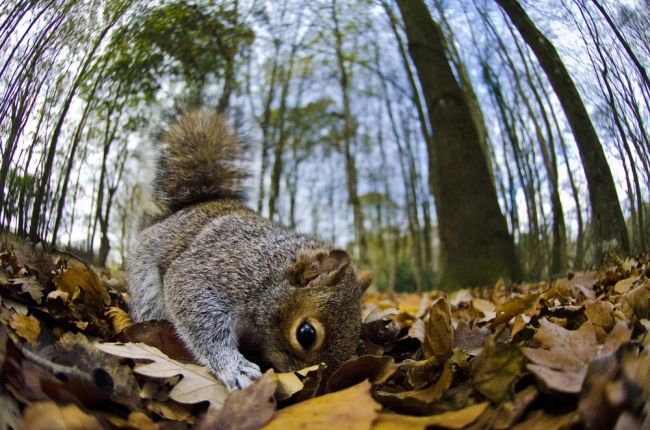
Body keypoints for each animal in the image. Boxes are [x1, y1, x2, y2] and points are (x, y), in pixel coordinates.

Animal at [126, 106, 370, 390]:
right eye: (306, 334)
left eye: (354, 344)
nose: (311, 385)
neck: (273, 270)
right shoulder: (227, 268)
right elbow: (194, 305)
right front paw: (234, 367)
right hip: (145, 281)